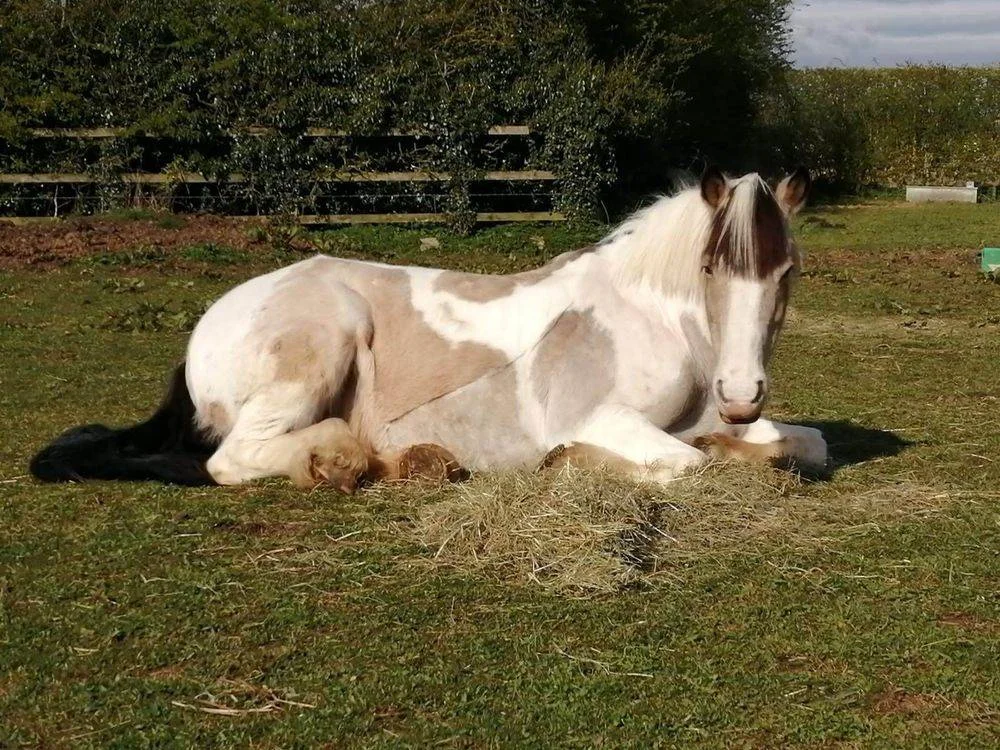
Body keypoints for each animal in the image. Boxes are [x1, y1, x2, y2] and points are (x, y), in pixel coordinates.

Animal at [31, 167, 828, 490]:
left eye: (788, 270)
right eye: (711, 266)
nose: (740, 394)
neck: (650, 319)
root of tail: (209, 325)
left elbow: (804, 445)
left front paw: (747, 445)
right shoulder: (600, 417)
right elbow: (687, 465)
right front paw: (569, 463)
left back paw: (402, 464)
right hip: (324, 342)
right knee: (232, 460)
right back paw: (338, 461)